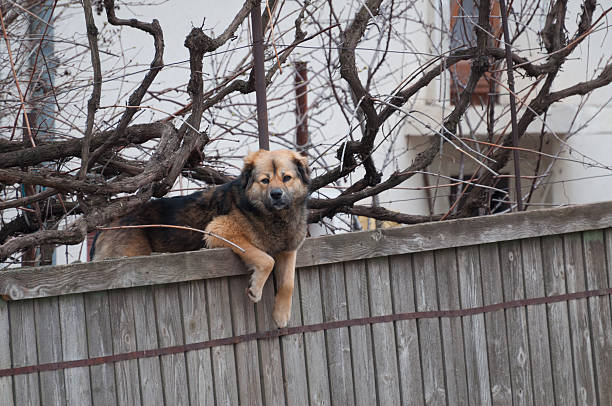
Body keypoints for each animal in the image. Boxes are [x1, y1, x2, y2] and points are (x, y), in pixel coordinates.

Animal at [89, 149, 310, 326]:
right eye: (265, 180)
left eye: (286, 178)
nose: (276, 194)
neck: (274, 217)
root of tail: (106, 225)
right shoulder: (219, 230)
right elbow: (267, 260)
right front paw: (256, 289)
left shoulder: (289, 249)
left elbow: (288, 282)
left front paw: (281, 315)